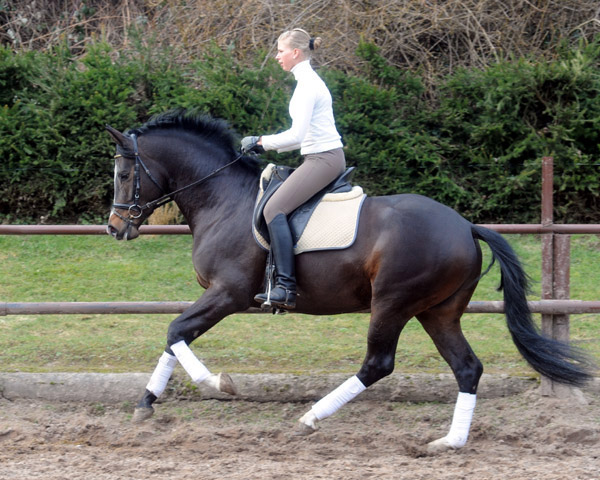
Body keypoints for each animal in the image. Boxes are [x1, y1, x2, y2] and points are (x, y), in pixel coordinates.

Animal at [105, 109, 592, 454]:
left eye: (125, 174)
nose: (114, 227)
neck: (222, 199)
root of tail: (466, 226)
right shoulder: (219, 296)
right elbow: (175, 336)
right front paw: (146, 403)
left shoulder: (228, 293)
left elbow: (176, 331)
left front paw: (216, 383)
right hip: (438, 312)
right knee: (467, 367)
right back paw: (449, 442)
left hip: (393, 302)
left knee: (378, 363)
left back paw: (311, 418)